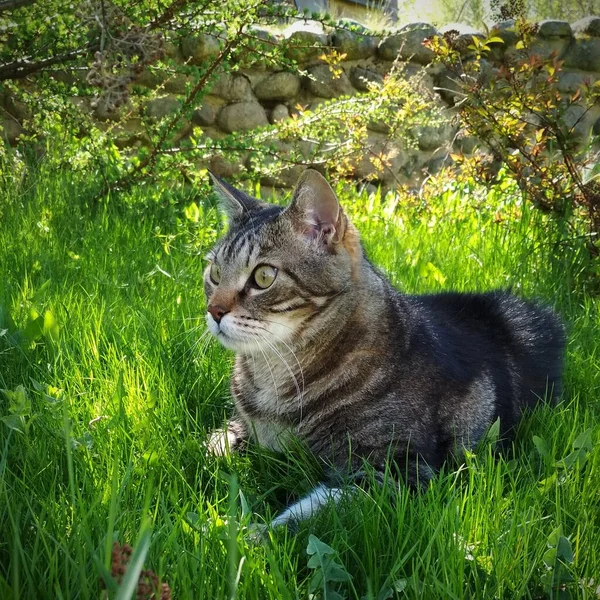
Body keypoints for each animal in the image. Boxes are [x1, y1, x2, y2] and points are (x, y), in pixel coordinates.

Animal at [204, 170, 564, 528]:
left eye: (264, 276)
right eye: (215, 273)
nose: (213, 310)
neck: (273, 372)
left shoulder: (396, 469)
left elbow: (305, 517)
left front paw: (246, 534)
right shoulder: (240, 426)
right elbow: (210, 446)